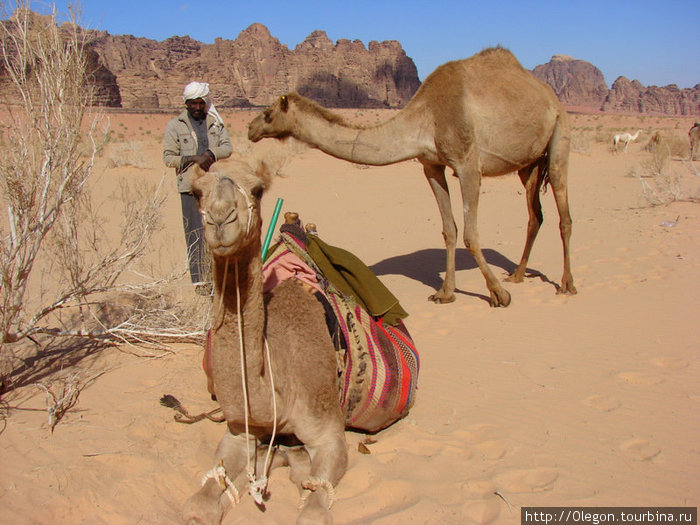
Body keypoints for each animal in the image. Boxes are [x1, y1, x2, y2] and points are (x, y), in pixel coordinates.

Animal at [182, 164, 410, 524]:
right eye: (195, 192)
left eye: (258, 189)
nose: (221, 220)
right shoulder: (239, 434)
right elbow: (198, 505)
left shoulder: (328, 433)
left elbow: (313, 512)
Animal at [249, 46, 576, 308]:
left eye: (268, 113)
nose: (251, 129)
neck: (425, 116)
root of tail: (549, 93)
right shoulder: (431, 166)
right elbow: (449, 230)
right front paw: (445, 293)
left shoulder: (468, 163)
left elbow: (470, 234)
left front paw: (497, 294)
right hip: (528, 163)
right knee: (535, 214)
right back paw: (518, 275)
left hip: (559, 134)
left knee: (564, 214)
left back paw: (566, 284)